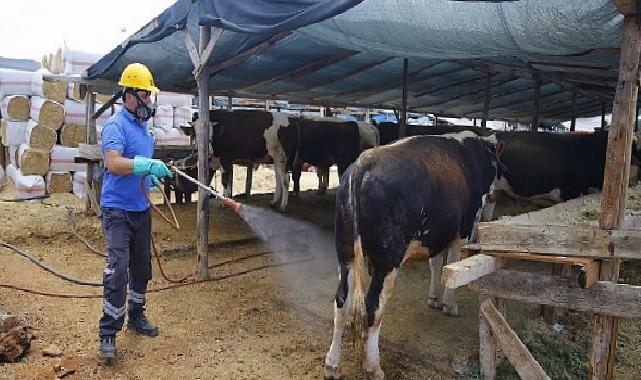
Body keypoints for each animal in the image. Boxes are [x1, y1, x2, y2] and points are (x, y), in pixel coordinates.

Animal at [322, 131, 498, 380]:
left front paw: (434, 299)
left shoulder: (435, 234)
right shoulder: (462, 229)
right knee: (373, 306)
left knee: (341, 301)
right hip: (388, 259)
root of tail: (363, 163)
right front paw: (449, 305)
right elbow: (453, 264)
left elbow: (436, 264)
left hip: (345, 253)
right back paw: (374, 366)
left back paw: (332, 365)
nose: (493, 196)